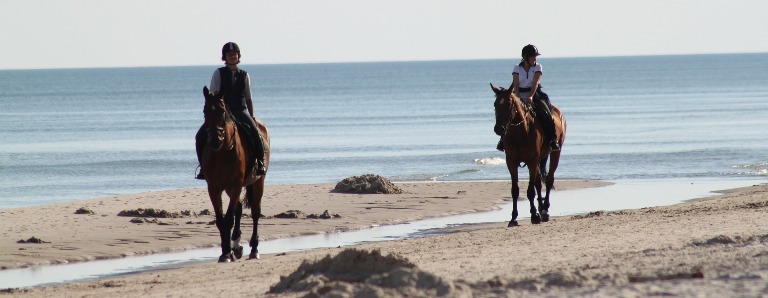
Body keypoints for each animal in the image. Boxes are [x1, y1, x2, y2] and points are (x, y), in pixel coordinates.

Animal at [201, 86, 270, 264]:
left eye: (222, 110)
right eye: (205, 110)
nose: (215, 139)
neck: (222, 152)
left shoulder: (236, 185)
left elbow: (229, 219)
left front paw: (227, 253)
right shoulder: (214, 188)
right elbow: (221, 220)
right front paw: (226, 252)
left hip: (258, 182)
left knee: (255, 212)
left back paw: (254, 249)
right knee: (238, 209)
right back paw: (236, 246)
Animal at [492, 84, 564, 228]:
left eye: (509, 104)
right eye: (495, 104)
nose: (498, 129)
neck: (520, 132)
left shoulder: (531, 161)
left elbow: (530, 191)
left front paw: (534, 215)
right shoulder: (511, 162)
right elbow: (515, 190)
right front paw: (513, 218)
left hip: (555, 153)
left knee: (549, 180)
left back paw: (545, 211)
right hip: (540, 158)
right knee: (538, 183)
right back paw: (541, 209)